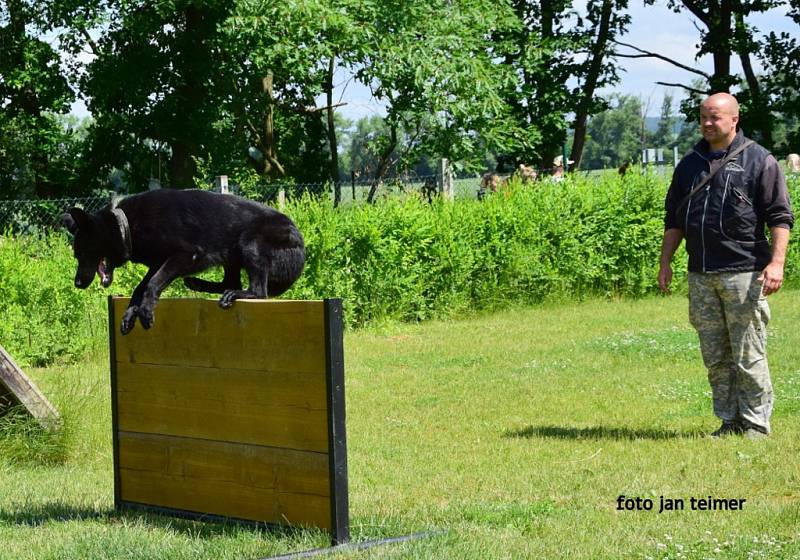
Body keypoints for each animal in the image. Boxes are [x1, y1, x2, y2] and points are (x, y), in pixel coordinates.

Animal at [61, 190, 304, 334]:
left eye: (82, 252)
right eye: (77, 255)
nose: (78, 283)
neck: (125, 225)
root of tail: (300, 244)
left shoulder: (185, 255)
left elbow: (152, 283)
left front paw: (145, 312)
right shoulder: (158, 262)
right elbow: (141, 287)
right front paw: (131, 313)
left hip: (249, 242)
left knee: (258, 290)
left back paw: (236, 294)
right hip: (231, 253)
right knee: (231, 281)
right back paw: (197, 283)